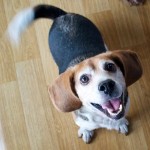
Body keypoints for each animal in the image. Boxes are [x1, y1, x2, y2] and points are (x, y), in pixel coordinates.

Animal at [7, 4, 142, 143]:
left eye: (110, 66)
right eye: (84, 79)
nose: (107, 85)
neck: (104, 118)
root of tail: (63, 16)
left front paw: (120, 123)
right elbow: (84, 125)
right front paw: (86, 131)